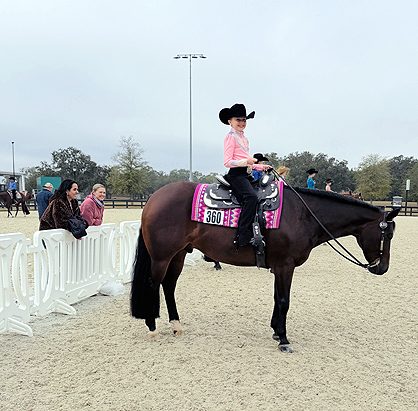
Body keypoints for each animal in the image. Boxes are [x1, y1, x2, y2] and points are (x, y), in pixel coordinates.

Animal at [130, 182, 399, 350]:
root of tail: (154, 198)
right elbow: (284, 300)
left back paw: (176, 325)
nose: (382, 268)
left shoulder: (279, 267)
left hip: (178, 255)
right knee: (154, 284)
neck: (304, 215)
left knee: (169, 286)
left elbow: (276, 298)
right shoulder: (285, 266)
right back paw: (152, 327)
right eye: (387, 234)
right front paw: (283, 338)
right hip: (162, 256)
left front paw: (275, 330)